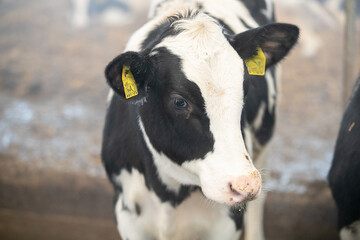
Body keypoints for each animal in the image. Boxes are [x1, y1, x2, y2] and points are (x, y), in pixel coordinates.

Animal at [101, 0, 298, 240]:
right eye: (179, 102)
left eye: (246, 88)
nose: (245, 185)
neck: (168, 196)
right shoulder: (128, 216)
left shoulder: (227, 223)